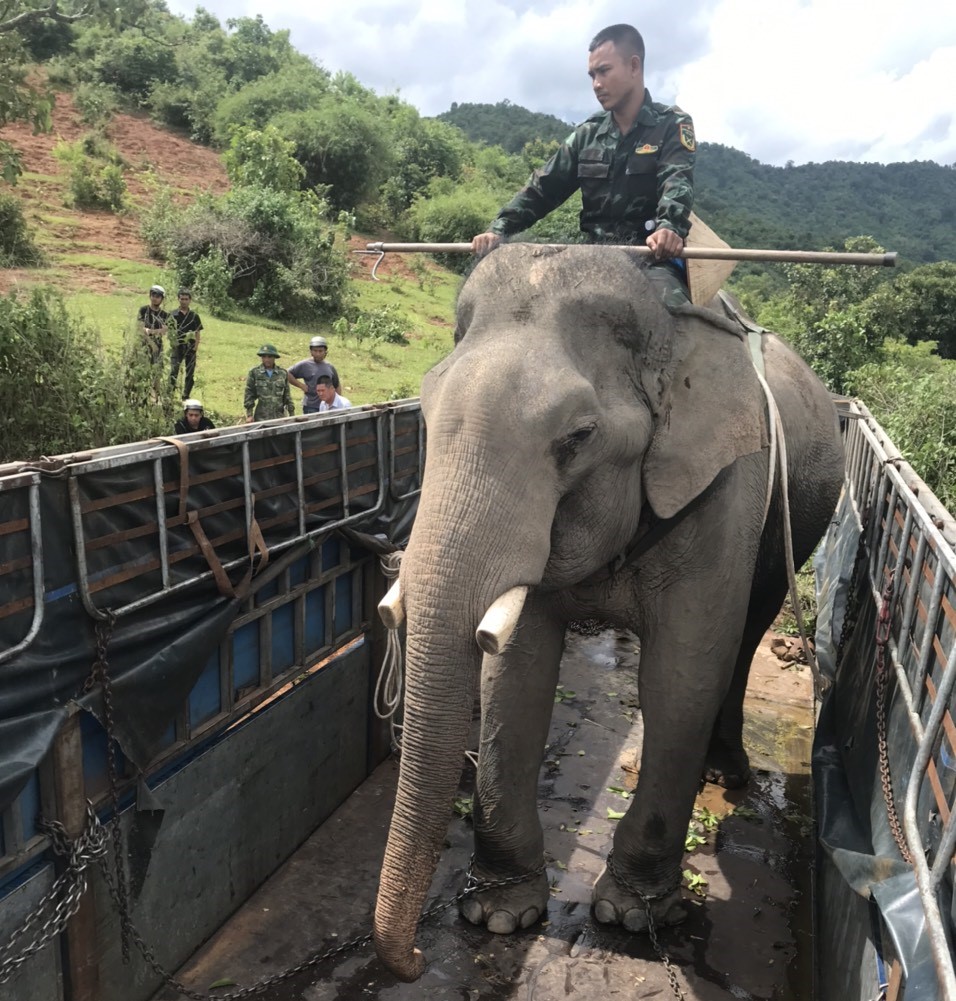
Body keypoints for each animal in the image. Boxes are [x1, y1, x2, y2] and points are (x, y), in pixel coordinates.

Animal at [374, 242, 844, 976]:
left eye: (578, 437)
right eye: (419, 415)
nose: (419, 956)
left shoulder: (723, 492)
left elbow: (682, 674)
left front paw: (630, 914)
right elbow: (516, 670)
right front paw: (498, 915)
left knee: (746, 635)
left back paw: (723, 771)